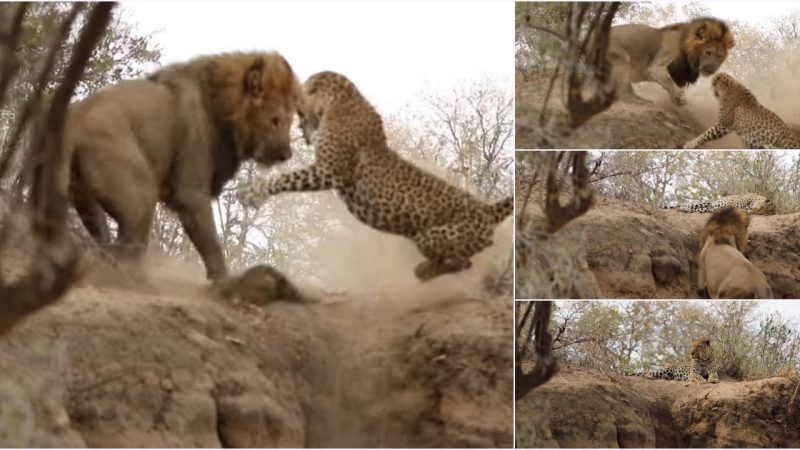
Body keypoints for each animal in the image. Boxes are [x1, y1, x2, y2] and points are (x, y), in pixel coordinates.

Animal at [65, 52, 304, 282]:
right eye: (275, 120)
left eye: (288, 121)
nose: (287, 154)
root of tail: (74, 122)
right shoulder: (190, 190)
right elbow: (211, 242)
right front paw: (224, 280)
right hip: (137, 191)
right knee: (130, 243)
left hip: (82, 194)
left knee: (103, 237)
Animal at [238, 71, 512, 282]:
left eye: (299, 110)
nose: (301, 132)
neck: (338, 100)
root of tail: (487, 210)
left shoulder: (329, 171)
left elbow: (285, 179)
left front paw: (252, 193)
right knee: (463, 262)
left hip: (432, 236)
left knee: (460, 262)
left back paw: (423, 272)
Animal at [608, 16, 736, 106]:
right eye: (708, 52)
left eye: (719, 56)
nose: (711, 69)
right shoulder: (657, 65)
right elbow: (669, 80)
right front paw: (678, 96)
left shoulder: (647, 72)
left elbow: (667, 81)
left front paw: (677, 97)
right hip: (622, 60)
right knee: (622, 94)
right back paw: (640, 102)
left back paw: (642, 99)